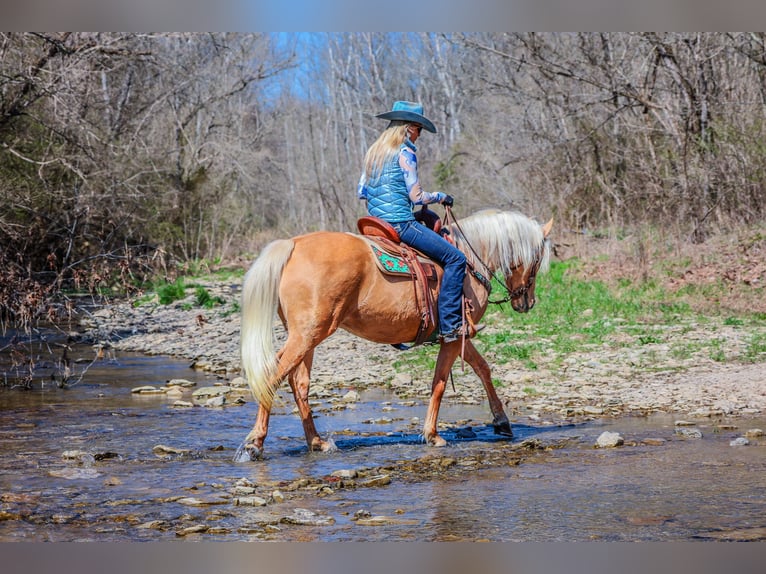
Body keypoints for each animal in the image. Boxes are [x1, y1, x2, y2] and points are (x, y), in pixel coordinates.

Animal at [240, 209, 552, 462]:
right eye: (537, 260)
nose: (527, 302)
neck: (470, 259)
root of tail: (293, 245)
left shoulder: (460, 336)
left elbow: (483, 369)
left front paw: (502, 422)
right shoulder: (454, 335)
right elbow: (439, 382)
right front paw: (432, 435)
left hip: (307, 336)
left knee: (298, 383)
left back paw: (316, 442)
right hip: (307, 335)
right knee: (273, 377)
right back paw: (254, 444)